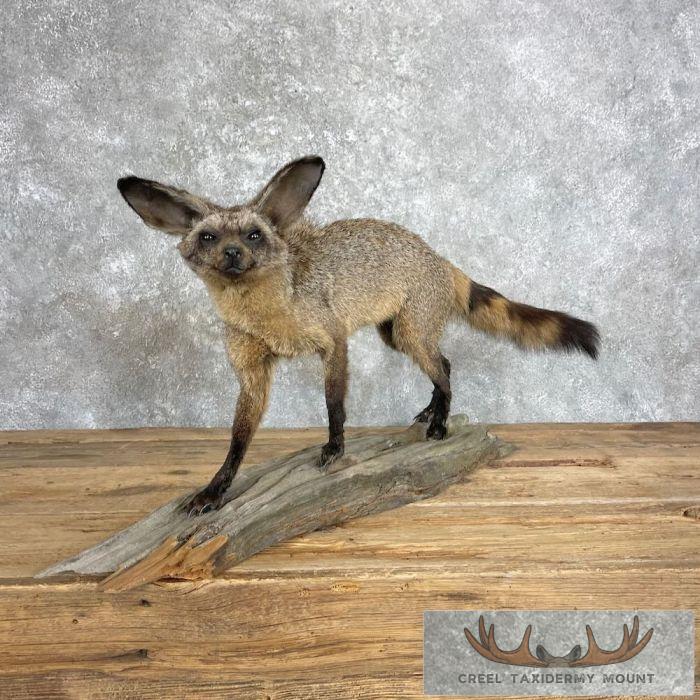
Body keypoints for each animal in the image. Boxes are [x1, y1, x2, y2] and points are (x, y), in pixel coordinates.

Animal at [117, 155, 599, 515]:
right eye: (208, 237)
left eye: (254, 235)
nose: (233, 254)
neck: (270, 316)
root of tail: (439, 258)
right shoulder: (251, 370)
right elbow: (238, 439)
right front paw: (216, 489)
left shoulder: (333, 340)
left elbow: (334, 405)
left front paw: (334, 448)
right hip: (395, 334)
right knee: (442, 362)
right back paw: (431, 411)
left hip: (410, 330)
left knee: (444, 367)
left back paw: (440, 422)